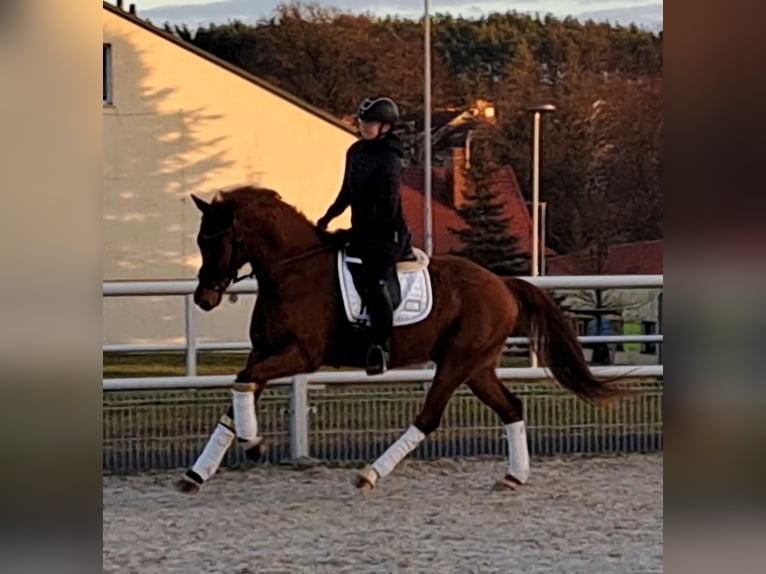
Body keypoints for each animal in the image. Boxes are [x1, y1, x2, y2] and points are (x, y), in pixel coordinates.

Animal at [176, 188, 632, 496]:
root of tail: (501, 283)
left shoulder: (299, 356)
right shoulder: (265, 353)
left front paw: (254, 445)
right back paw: (513, 477)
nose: (204, 298)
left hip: (456, 362)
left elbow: (242, 383)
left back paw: (369, 474)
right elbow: (238, 394)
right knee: (511, 408)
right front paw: (197, 473)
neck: (292, 272)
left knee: (428, 418)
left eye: (216, 240)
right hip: (478, 366)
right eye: (199, 240)